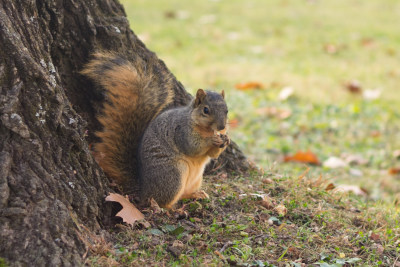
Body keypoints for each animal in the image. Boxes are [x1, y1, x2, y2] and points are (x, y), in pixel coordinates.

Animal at [82, 51, 228, 208]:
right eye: (206, 110)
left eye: (227, 110)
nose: (222, 127)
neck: (204, 128)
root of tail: (143, 191)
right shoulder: (181, 131)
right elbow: (192, 147)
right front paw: (212, 139)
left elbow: (212, 154)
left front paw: (225, 140)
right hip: (173, 176)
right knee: (163, 202)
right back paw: (174, 209)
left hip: (195, 180)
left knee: (182, 194)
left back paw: (196, 194)